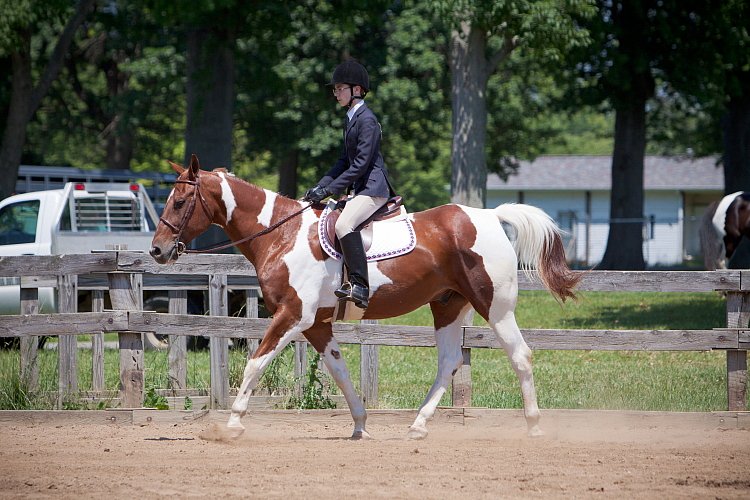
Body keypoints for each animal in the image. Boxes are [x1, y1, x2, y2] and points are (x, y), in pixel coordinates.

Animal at [148, 154, 580, 440]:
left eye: (180, 202)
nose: (157, 250)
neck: (281, 234)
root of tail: (490, 216)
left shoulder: (293, 315)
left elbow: (256, 363)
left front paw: (233, 423)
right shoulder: (317, 324)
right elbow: (339, 371)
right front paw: (360, 424)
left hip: (495, 306)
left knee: (520, 355)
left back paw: (534, 426)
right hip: (447, 305)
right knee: (449, 361)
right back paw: (418, 425)